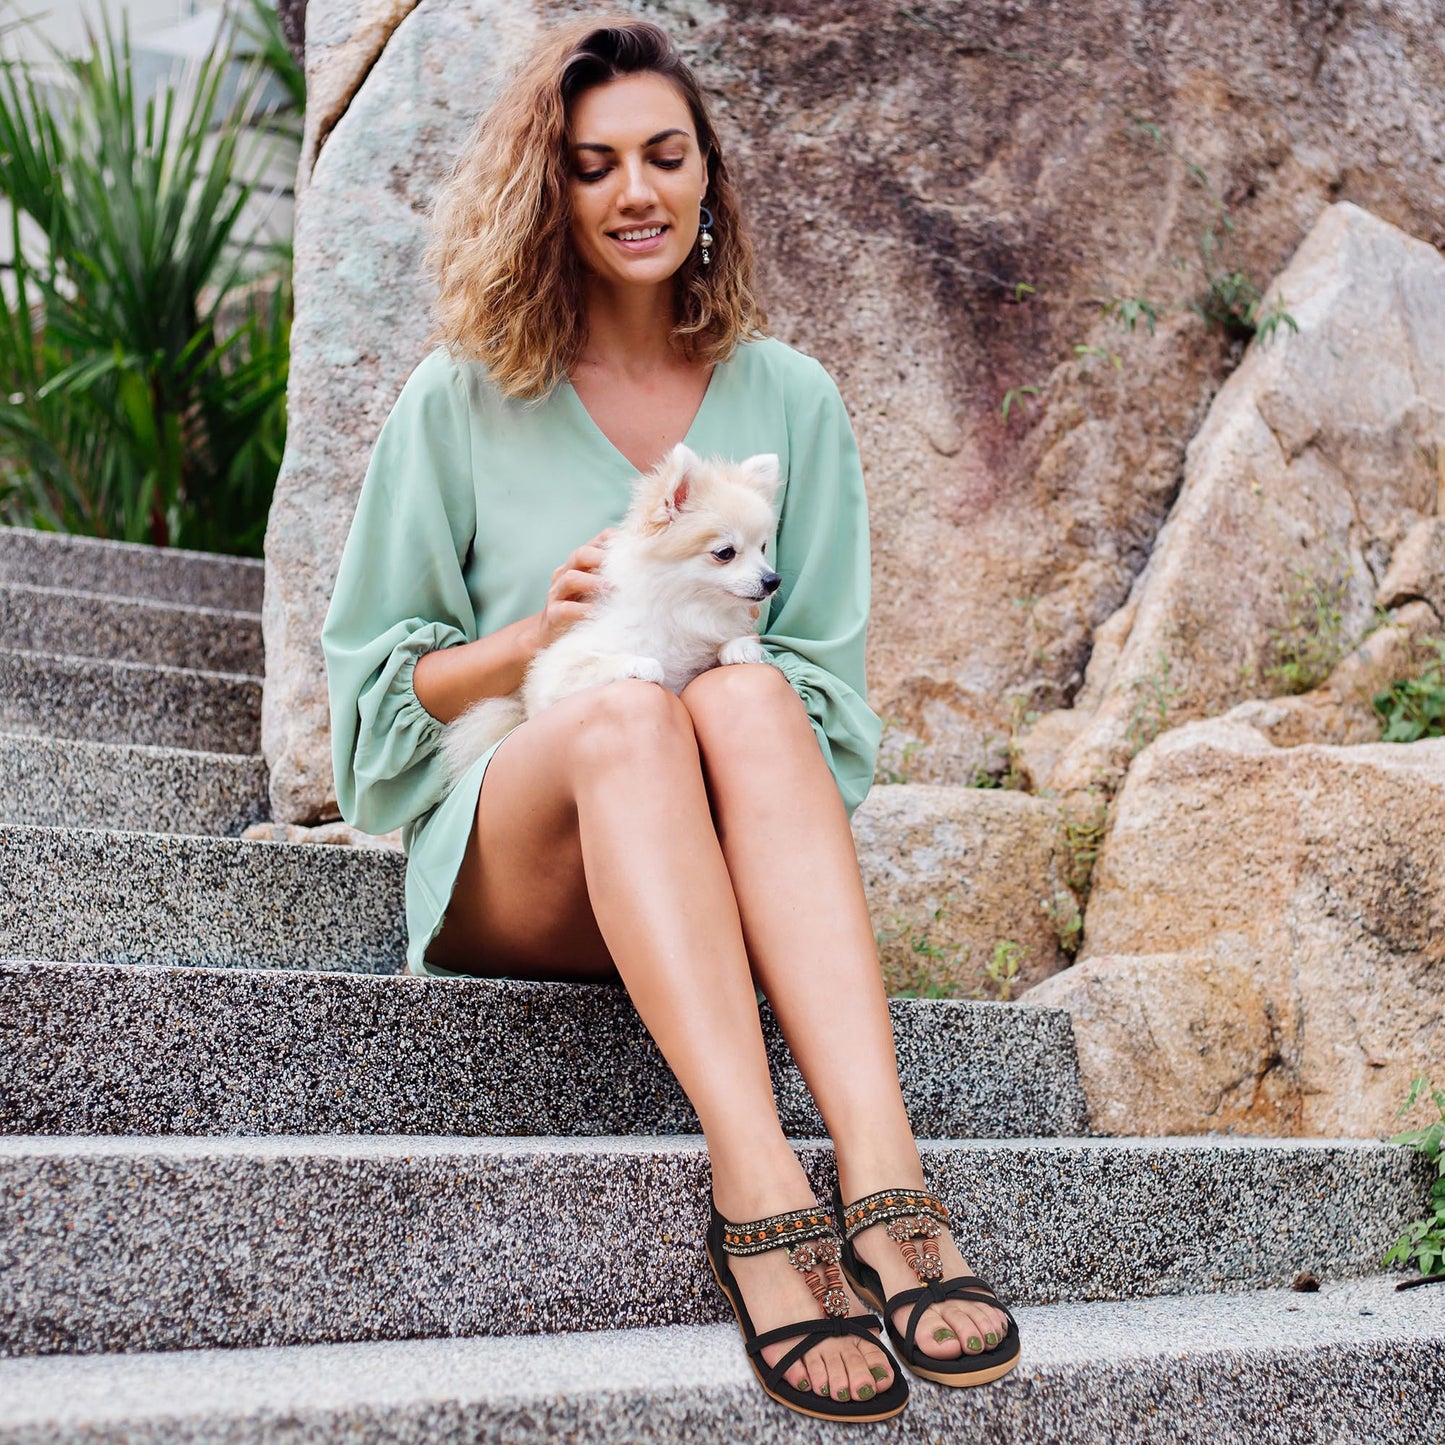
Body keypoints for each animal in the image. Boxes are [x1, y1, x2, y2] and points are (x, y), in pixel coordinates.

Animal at [436, 439, 780, 786]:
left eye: (763, 548)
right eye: (725, 553)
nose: (773, 580)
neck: (683, 606)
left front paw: (739, 646)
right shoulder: (554, 675)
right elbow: (602, 662)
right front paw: (643, 664)